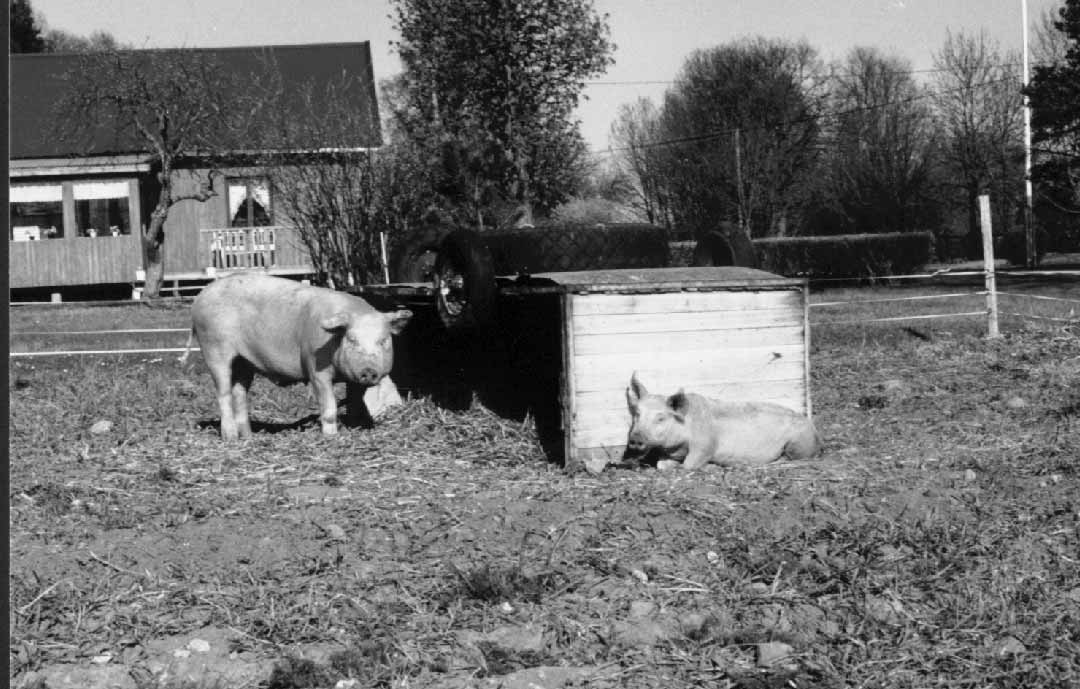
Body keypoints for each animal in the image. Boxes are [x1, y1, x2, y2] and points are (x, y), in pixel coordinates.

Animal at [183, 272, 410, 440]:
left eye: (383, 340)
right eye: (351, 339)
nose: (369, 371)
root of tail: (199, 297)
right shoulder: (315, 369)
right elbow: (329, 406)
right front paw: (331, 437)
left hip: (244, 362)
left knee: (239, 392)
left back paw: (248, 436)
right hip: (214, 349)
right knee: (223, 393)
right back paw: (230, 438)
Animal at [626, 375, 816, 473]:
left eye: (661, 418)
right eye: (637, 414)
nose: (635, 439)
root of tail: (816, 433)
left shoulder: (705, 444)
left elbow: (689, 465)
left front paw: (708, 466)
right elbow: (661, 465)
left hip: (797, 443)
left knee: (794, 458)